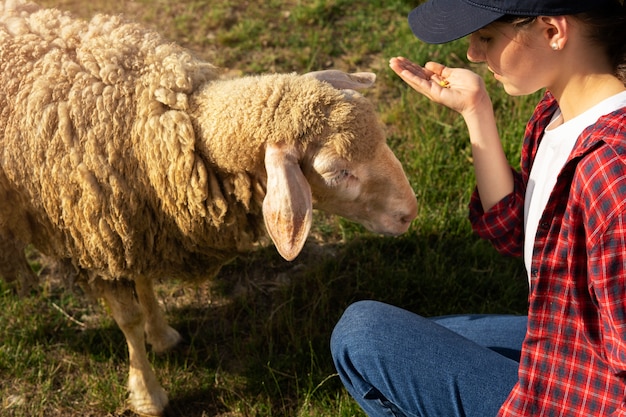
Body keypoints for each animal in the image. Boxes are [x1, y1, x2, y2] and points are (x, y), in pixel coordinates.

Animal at [1, 1, 420, 414]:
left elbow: (145, 284)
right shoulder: (97, 241)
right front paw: (147, 392)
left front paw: (161, 334)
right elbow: (129, 319)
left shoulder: (137, 226)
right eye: (336, 171)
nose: (410, 212)